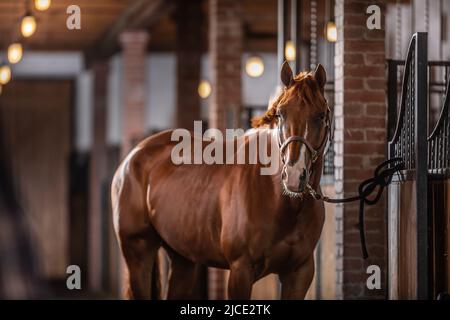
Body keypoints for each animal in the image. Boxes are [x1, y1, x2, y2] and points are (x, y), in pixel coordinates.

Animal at [111, 62, 330, 300]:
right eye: (280, 114)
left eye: (320, 116)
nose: (293, 175)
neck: (278, 200)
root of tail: (133, 156)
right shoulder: (240, 271)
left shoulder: (299, 273)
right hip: (138, 253)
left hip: (183, 259)